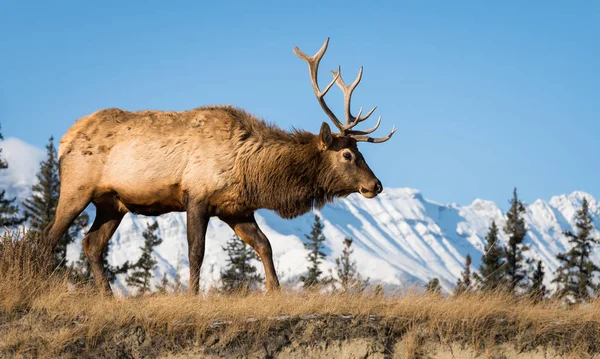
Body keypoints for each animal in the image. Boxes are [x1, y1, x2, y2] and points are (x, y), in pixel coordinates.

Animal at [44, 37, 396, 296]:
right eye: (347, 155)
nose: (375, 185)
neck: (252, 171)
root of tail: (65, 138)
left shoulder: (235, 208)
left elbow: (264, 245)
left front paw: (275, 291)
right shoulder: (196, 196)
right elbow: (196, 251)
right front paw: (192, 295)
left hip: (113, 203)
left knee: (91, 244)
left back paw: (108, 296)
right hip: (76, 187)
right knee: (49, 236)